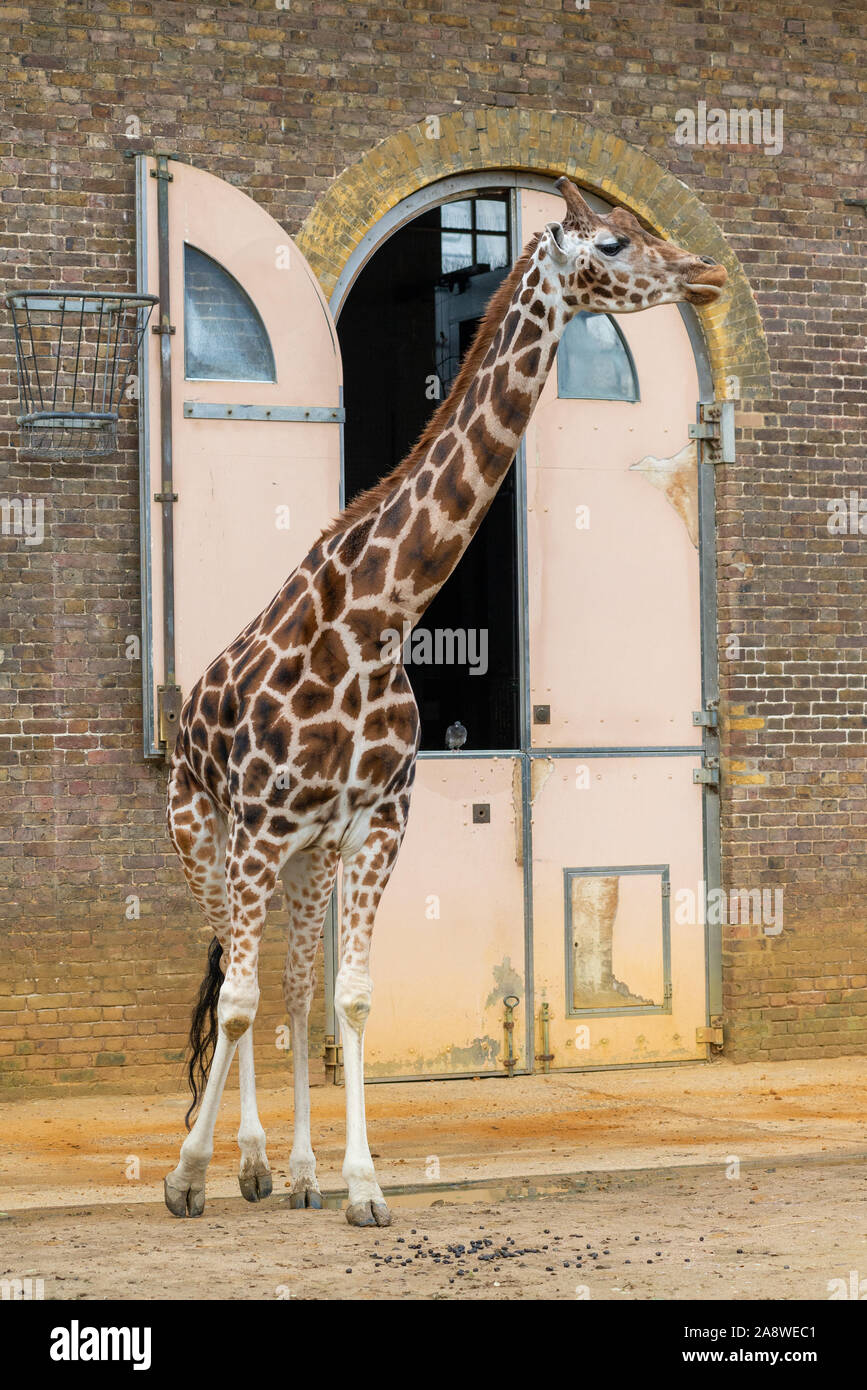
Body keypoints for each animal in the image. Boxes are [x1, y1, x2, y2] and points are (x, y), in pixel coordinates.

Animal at [161, 176, 722, 1228]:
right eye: (611, 242)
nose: (706, 273)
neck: (374, 618)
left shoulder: (375, 822)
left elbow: (346, 996)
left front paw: (358, 1185)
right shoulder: (257, 826)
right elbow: (239, 1003)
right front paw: (186, 1174)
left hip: (303, 857)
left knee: (288, 986)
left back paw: (280, 1169)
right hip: (201, 830)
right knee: (235, 983)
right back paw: (221, 1164)